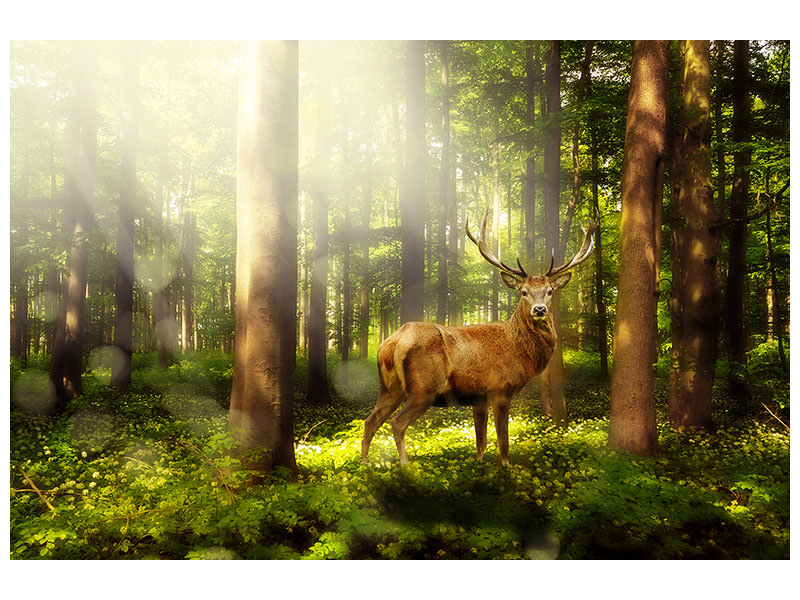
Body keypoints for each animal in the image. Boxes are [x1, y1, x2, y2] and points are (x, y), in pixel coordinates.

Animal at [361, 209, 598, 466]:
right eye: (524, 292)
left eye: (550, 291)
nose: (539, 309)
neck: (519, 351)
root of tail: (392, 342)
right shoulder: (500, 389)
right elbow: (503, 441)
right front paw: (505, 467)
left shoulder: (479, 398)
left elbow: (480, 441)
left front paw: (480, 464)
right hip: (423, 388)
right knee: (397, 423)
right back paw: (405, 467)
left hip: (388, 387)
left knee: (370, 421)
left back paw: (365, 465)